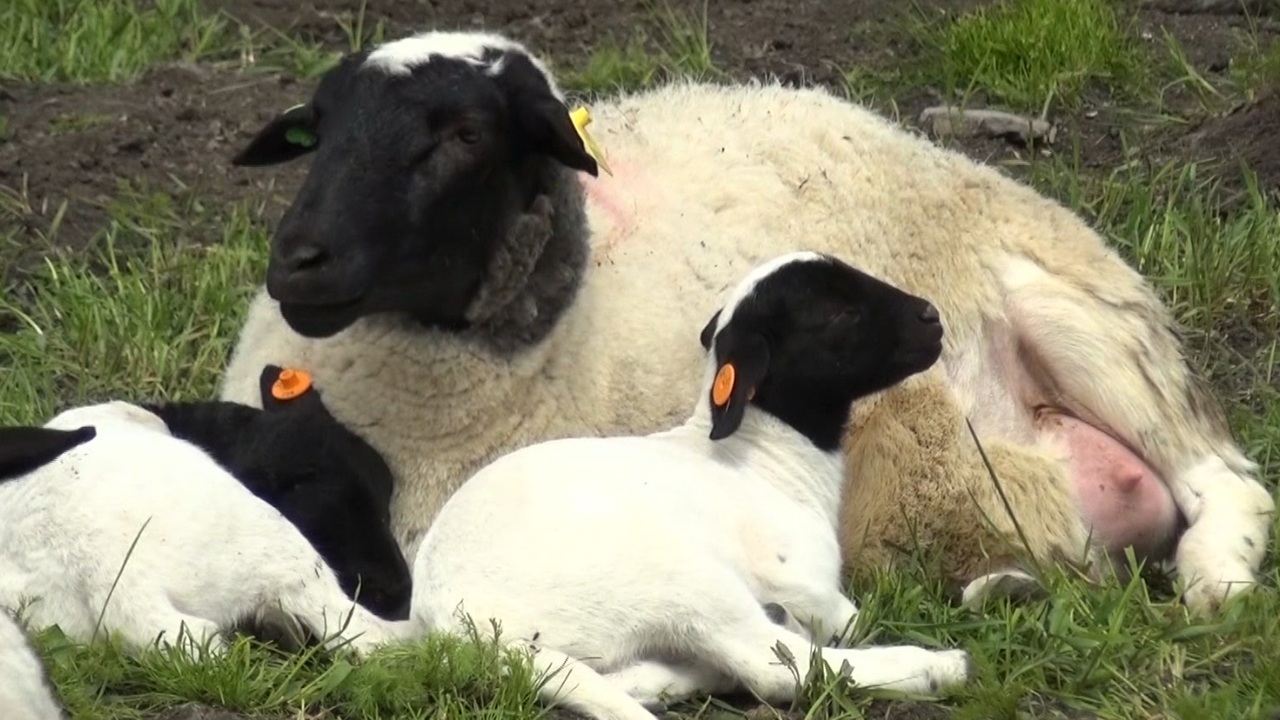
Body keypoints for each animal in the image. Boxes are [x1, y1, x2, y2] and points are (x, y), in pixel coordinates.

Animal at [215, 26, 1274, 609]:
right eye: (317, 130)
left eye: (465, 135)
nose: (298, 259)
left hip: (1077, 315)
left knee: (1227, 477)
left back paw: (1213, 580)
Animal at [409, 251, 967, 717]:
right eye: (837, 312)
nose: (932, 318)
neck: (768, 459)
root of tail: (458, 627)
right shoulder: (801, 581)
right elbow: (843, 621)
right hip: (677, 575)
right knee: (772, 666)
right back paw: (941, 667)